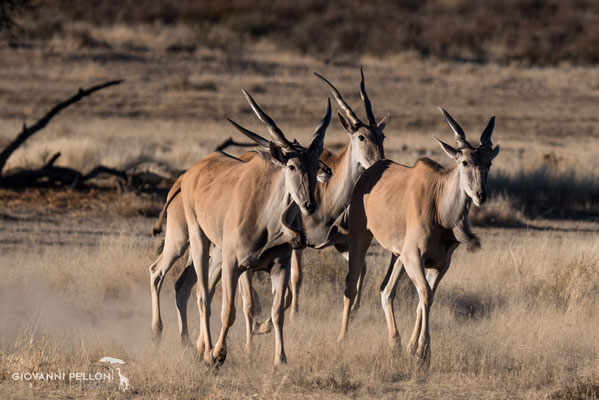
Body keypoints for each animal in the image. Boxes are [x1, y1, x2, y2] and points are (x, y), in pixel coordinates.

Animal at [147, 90, 330, 366]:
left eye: (314, 163)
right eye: (291, 166)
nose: (309, 205)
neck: (270, 223)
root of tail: (187, 174)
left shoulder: (279, 266)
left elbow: (278, 311)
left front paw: (280, 359)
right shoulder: (235, 264)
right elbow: (231, 310)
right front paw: (219, 353)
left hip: (212, 252)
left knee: (186, 287)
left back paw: (191, 344)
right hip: (191, 239)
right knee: (184, 286)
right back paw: (172, 337)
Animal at [340, 108, 500, 362]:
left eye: (489, 163)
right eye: (464, 162)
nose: (480, 195)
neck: (439, 203)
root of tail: (369, 172)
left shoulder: (440, 264)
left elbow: (424, 299)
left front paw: (411, 348)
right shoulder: (414, 256)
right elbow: (425, 295)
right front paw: (424, 350)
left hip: (397, 255)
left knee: (386, 290)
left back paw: (394, 344)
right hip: (360, 237)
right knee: (351, 285)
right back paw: (342, 339)